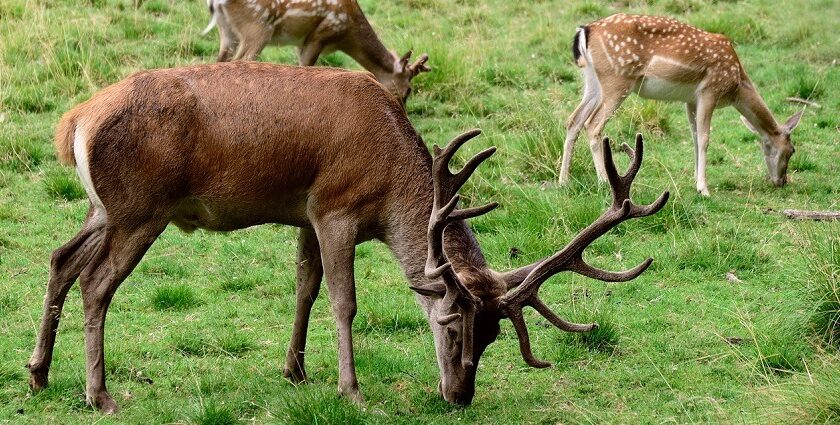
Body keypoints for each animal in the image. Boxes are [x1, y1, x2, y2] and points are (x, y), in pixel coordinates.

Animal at [27, 61, 668, 412]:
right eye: (451, 326)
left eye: (492, 338)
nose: (459, 395)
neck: (388, 188)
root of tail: (74, 122)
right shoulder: (334, 209)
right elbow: (343, 301)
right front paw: (351, 389)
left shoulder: (305, 215)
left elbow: (305, 288)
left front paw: (295, 370)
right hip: (141, 208)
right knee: (96, 282)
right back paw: (100, 394)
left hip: (103, 208)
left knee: (60, 259)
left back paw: (38, 374)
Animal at [200, 0, 430, 103]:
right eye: (408, 90)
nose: (402, 110)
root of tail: (215, 2)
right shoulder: (319, 36)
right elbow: (306, 68)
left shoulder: (302, 42)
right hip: (257, 27)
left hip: (227, 31)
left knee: (220, 60)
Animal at [560, 14, 804, 196]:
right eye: (792, 150)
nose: (781, 181)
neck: (736, 85)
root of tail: (585, 31)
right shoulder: (709, 91)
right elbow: (705, 138)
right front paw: (703, 189)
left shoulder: (690, 100)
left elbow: (695, 137)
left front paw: (695, 180)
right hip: (617, 80)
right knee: (593, 124)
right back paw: (603, 181)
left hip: (592, 81)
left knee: (574, 120)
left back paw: (563, 181)